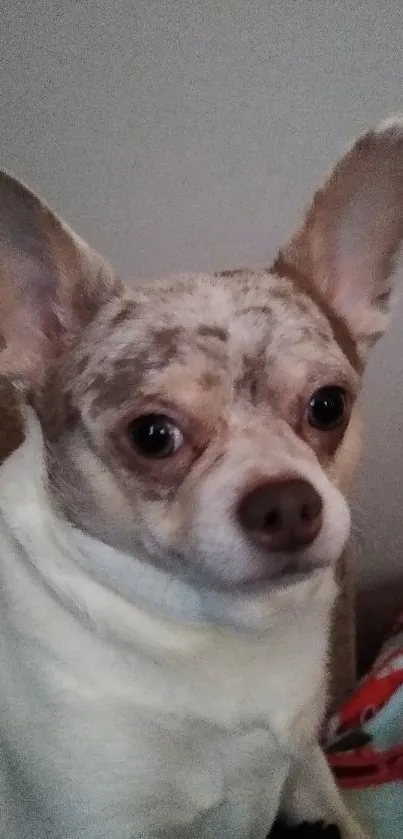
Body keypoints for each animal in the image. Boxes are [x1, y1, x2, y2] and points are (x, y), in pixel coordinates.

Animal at [0, 120, 403, 839]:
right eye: (152, 435)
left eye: (328, 405)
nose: (286, 503)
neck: (217, 632)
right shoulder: (98, 822)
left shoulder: (301, 765)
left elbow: (337, 813)